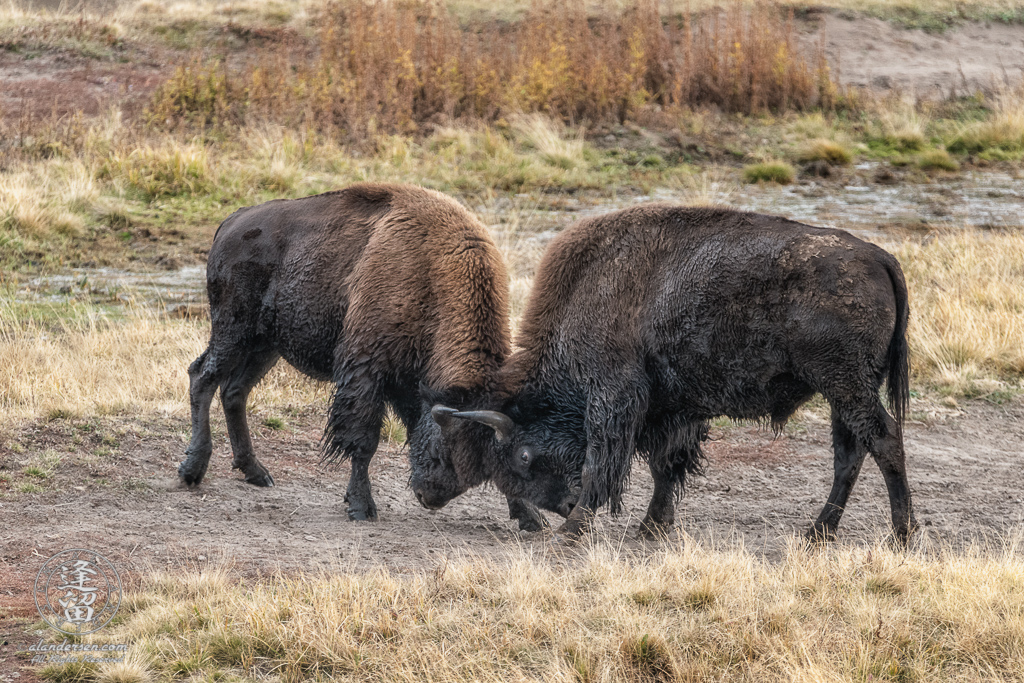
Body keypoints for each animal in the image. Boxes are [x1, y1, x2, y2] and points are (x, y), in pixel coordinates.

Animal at [180, 180, 552, 528]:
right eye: (442, 446)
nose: (429, 496)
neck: (433, 274)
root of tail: (233, 221)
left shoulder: (408, 383)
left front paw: (531, 517)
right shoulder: (367, 370)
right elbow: (363, 441)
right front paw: (361, 507)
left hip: (264, 346)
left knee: (234, 391)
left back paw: (256, 473)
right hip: (233, 331)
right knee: (202, 376)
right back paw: (192, 471)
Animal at [419, 205, 917, 540]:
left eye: (523, 456)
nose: (563, 508)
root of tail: (880, 258)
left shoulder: (614, 399)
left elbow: (601, 463)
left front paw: (576, 529)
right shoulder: (671, 410)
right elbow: (666, 467)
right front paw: (652, 527)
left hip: (846, 384)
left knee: (884, 440)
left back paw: (902, 536)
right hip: (843, 391)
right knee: (850, 453)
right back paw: (818, 533)